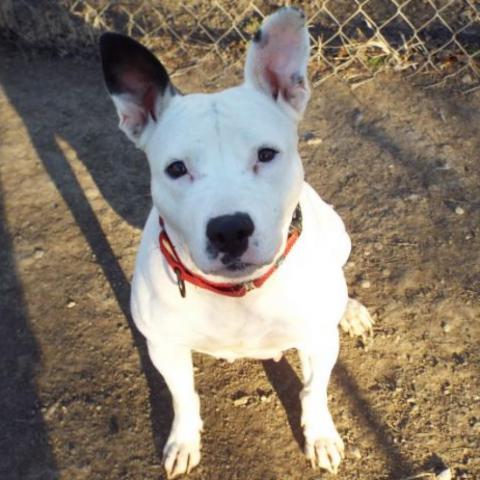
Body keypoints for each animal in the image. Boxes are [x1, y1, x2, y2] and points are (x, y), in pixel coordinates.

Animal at [99, 8, 374, 480]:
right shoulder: (164, 347)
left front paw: (320, 436)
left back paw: (350, 310)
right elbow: (184, 397)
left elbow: (313, 392)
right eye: (176, 169)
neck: (237, 294)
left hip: (339, 236)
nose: (229, 230)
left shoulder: (318, 343)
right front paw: (183, 441)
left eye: (266, 155)